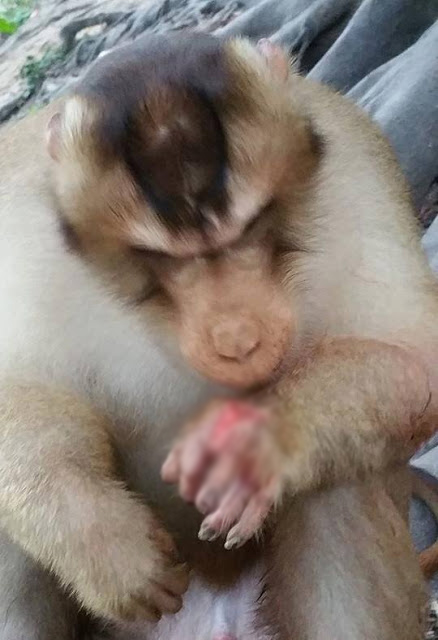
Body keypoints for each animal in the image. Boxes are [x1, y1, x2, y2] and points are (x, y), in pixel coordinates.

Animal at [0, 31, 436, 640]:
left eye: (250, 228)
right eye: (162, 257)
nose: (236, 339)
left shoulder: (356, 167)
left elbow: (415, 357)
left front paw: (261, 443)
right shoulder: (19, 223)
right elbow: (16, 386)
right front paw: (98, 537)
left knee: (341, 473)